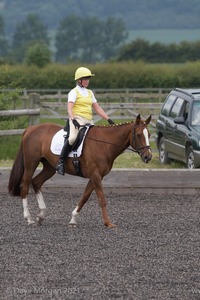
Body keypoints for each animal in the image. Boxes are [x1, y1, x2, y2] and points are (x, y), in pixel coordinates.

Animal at [7, 114, 152, 227]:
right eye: (139, 135)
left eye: (149, 134)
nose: (148, 157)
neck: (104, 144)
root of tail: (31, 129)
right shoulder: (95, 175)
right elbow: (101, 198)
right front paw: (108, 223)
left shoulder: (96, 176)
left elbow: (85, 197)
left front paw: (73, 219)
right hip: (31, 163)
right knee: (25, 185)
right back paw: (29, 218)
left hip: (49, 167)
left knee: (36, 182)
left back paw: (41, 215)